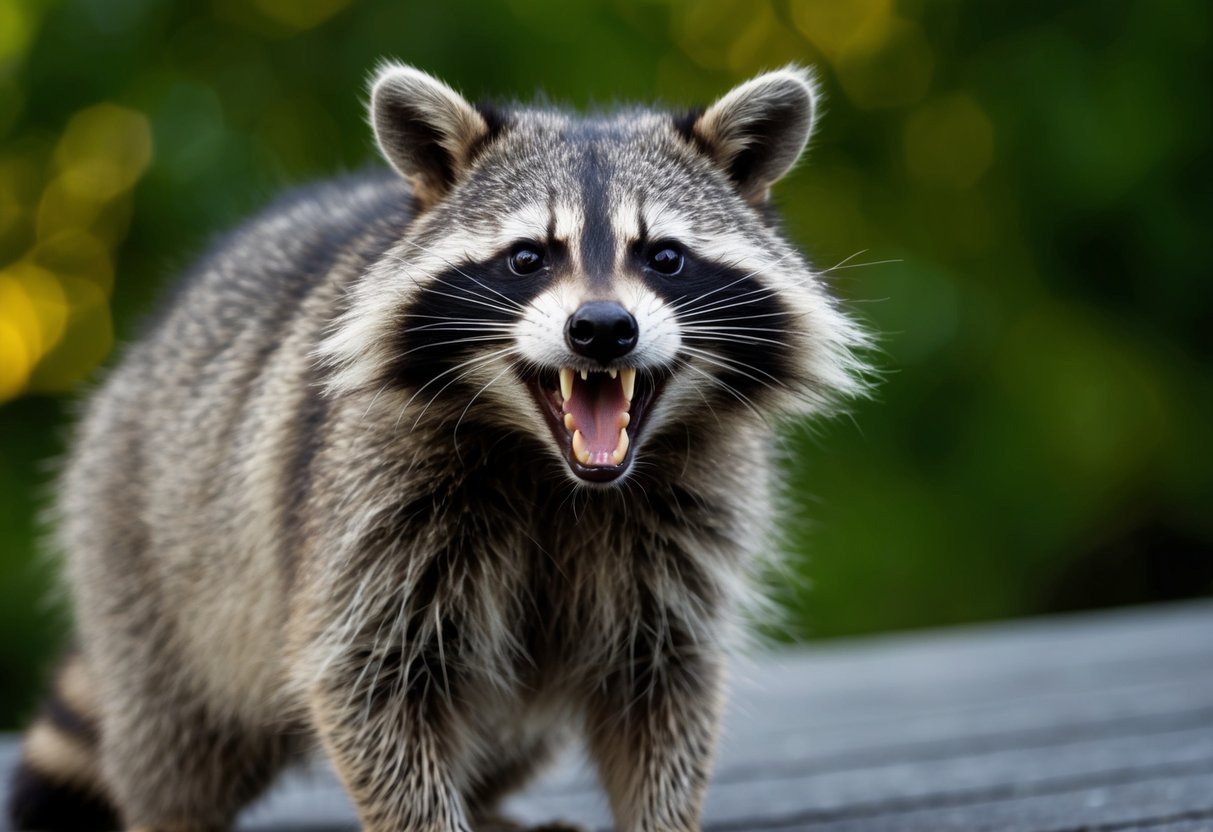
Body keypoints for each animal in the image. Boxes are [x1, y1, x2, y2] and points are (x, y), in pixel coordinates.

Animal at [8, 64, 868, 831]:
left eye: (662, 256)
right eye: (528, 257)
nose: (601, 329)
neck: (554, 471)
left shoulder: (691, 521)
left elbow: (661, 689)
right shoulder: (362, 500)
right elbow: (368, 683)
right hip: (144, 541)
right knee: (177, 732)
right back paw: (173, 803)